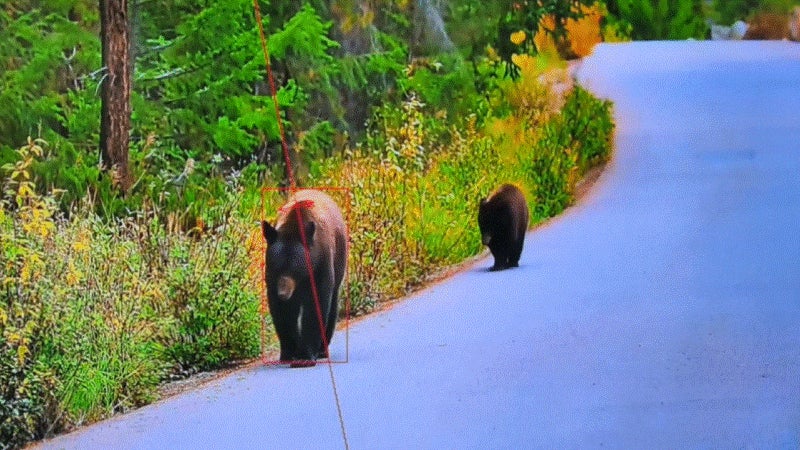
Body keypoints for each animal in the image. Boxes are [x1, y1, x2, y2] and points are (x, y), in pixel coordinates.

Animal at [262, 189, 348, 367]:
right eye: (276, 267)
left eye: (294, 268)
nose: (283, 294)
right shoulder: (272, 279)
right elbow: (280, 312)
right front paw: (289, 352)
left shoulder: (321, 265)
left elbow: (316, 305)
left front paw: (305, 355)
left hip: (339, 260)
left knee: (332, 304)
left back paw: (322, 350)